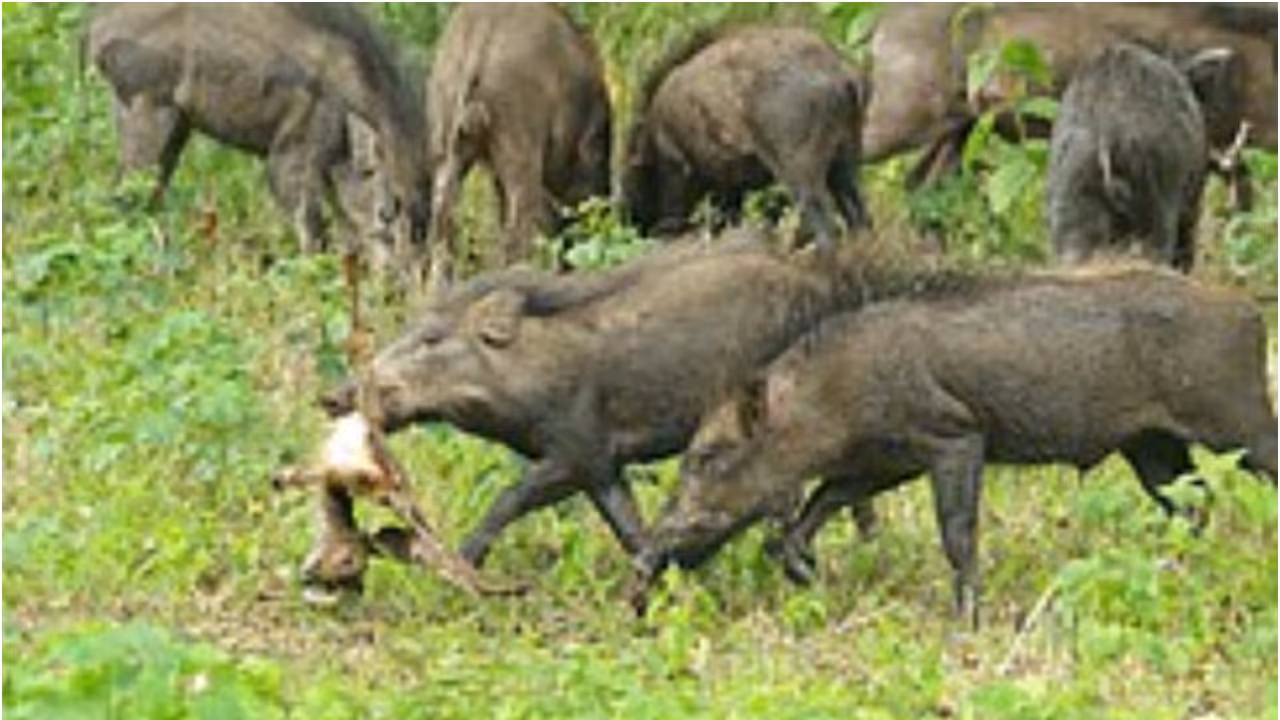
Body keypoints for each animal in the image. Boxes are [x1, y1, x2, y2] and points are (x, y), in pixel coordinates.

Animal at [87, 4, 429, 276]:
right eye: (389, 211)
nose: (399, 288)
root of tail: (96, 28)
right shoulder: (290, 159)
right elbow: (313, 227)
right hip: (150, 114)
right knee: (126, 194)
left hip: (174, 129)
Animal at [621, 25, 870, 253]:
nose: (634, 224)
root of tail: (844, 74)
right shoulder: (728, 184)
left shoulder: (677, 165)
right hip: (846, 158)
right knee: (860, 216)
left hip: (799, 168)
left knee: (825, 223)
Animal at [634, 263, 1276, 626]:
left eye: (708, 455)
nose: (644, 564)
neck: (829, 397)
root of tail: (1248, 313)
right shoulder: (885, 462)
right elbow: (813, 510)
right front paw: (808, 574)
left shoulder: (956, 439)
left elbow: (957, 535)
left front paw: (966, 622)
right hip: (1153, 448)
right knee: (1194, 506)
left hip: (1239, 422)